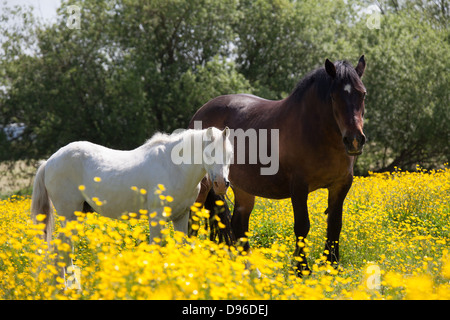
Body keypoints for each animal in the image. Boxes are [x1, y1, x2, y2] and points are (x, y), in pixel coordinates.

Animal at [188, 55, 368, 276]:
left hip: (242, 186)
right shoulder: (299, 186)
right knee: (193, 218)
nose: (354, 140)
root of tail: (200, 112)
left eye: (362, 94)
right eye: (334, 97)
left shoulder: (341, 185)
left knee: (239, 224)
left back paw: (250, 270)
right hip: (204, 185)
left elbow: (334, 225)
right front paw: (301, 270)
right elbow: (302, 225)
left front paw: (331, 268)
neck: (316, 132)